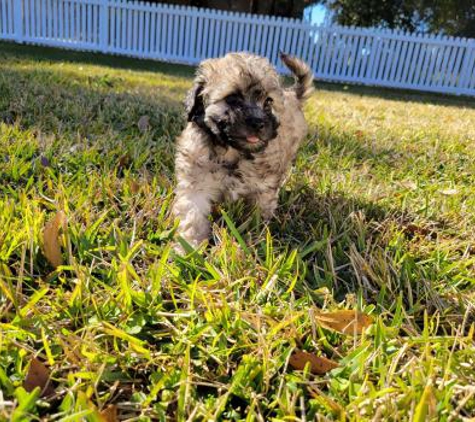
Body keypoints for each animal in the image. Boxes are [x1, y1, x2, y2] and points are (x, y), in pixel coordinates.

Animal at [173, 53, 314, 251]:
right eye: (232, 98)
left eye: (268, 102)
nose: (258, 122)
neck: (233, 151)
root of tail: (292, 94)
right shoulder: (196, 183)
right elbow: (192, 217)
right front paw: (189, 248)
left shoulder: (263, 190)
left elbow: (257, 217)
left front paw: (253, 242)